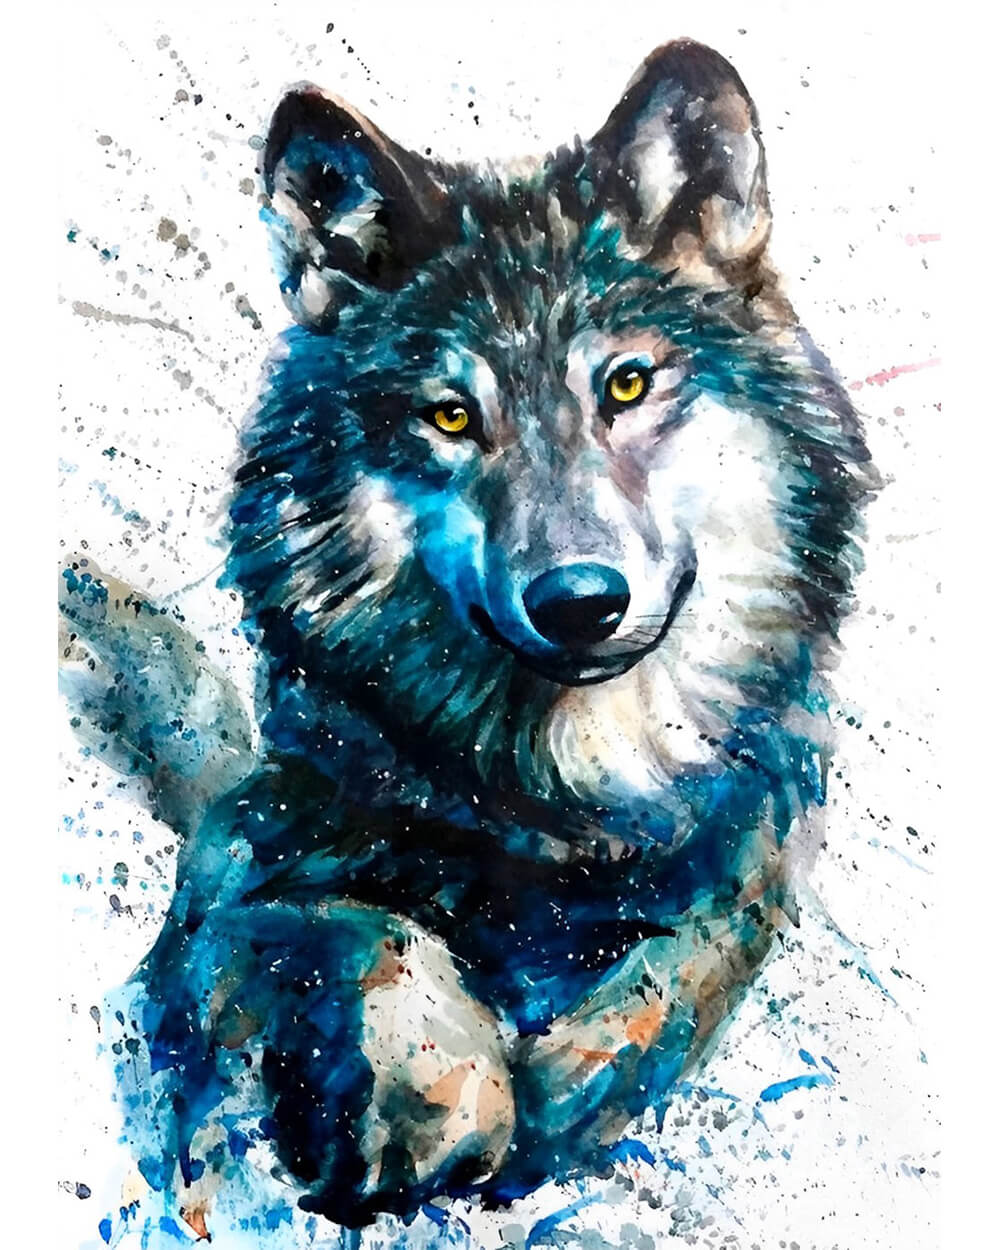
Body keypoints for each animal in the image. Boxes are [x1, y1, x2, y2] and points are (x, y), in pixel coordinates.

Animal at [59, 38, 876, 1235]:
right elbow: (367, 926)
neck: (561, 805)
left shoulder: (751, 853)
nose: (578, 600)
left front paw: (562, 1090)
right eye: (451, 415)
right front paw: (446, 1100)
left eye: (626, 384)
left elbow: (677, 972)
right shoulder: (233, 873)